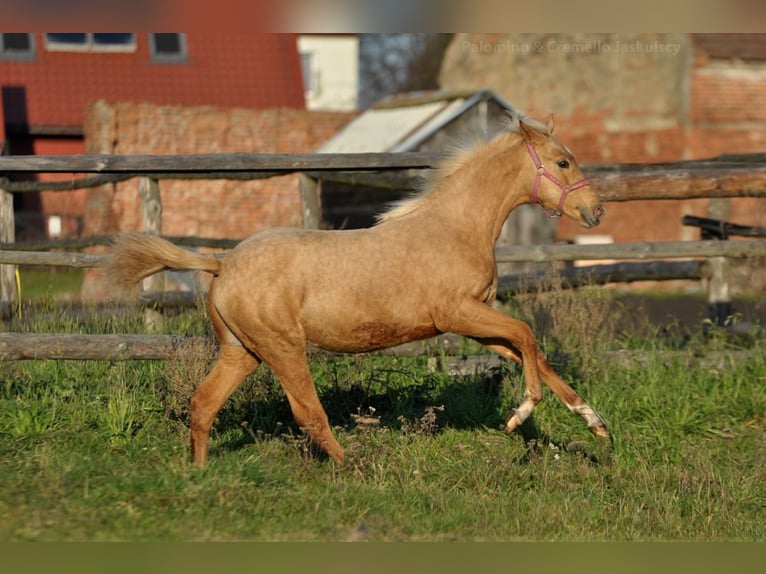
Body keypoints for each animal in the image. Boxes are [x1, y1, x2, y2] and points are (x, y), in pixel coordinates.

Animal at [109, 113, 612, 468]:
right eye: (563, 161)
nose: (597, 211)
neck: (456, 227)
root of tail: (223, 263)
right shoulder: (457, 313)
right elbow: (527, 335)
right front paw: (520, 413)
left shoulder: (475, 322)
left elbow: (533, 352)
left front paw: (595, 423)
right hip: (283, 348)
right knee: (308, 414)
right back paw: (354, 466)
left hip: (241, 351)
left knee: (203, 405)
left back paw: (198, 474)